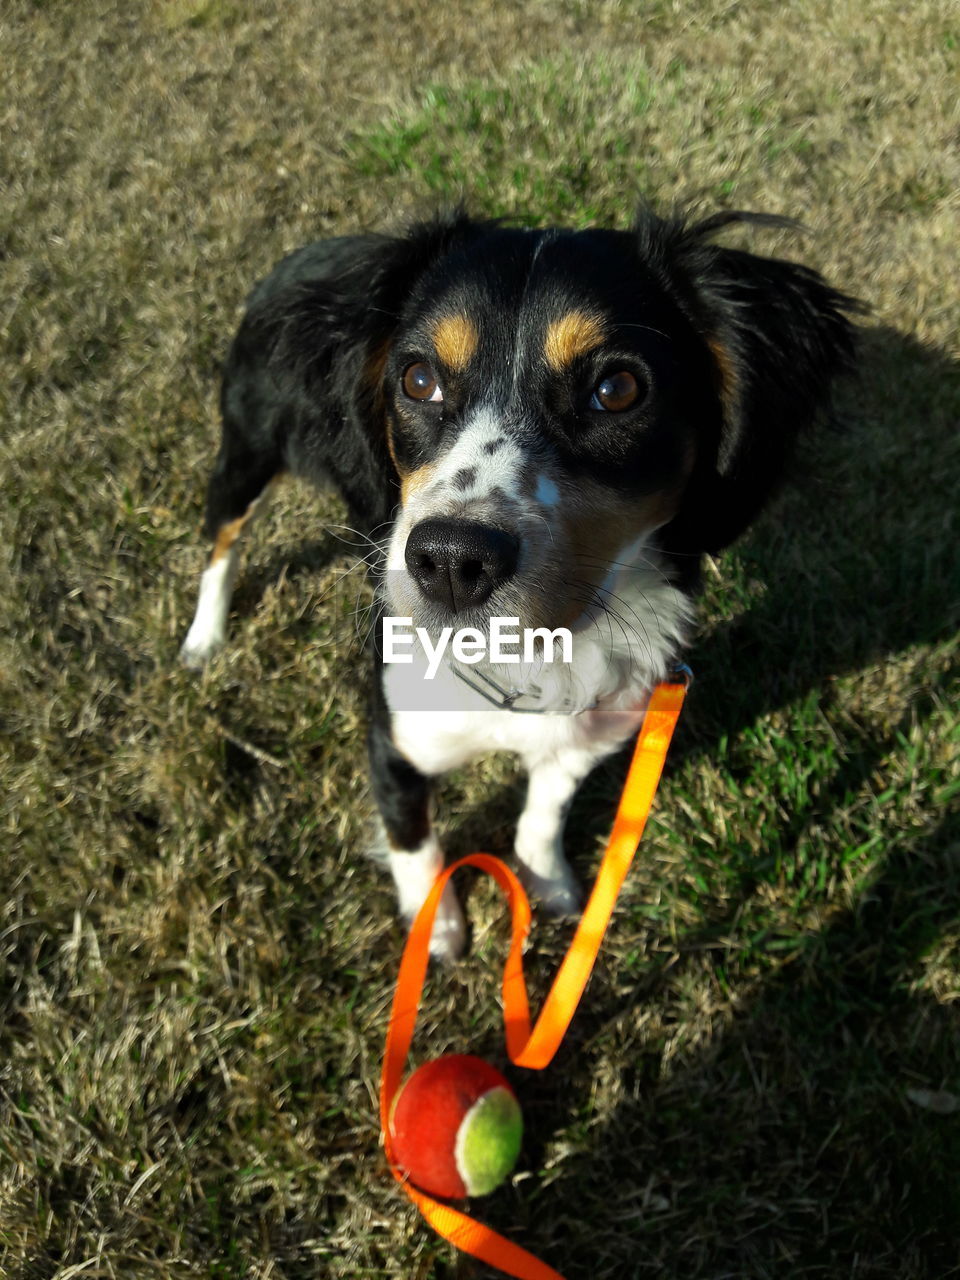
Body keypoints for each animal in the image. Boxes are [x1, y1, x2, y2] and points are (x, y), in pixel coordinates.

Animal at [180, 202, 855, 962]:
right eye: (417, 379)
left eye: (617, 390)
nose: (451, 560)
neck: (527, 657)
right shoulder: (394, 738)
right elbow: (414, 841)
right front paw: (437, 928)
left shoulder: (593, 727)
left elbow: (544, 810)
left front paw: (547, 884)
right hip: (246, 449)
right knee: (223, 539)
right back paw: (204, 637)